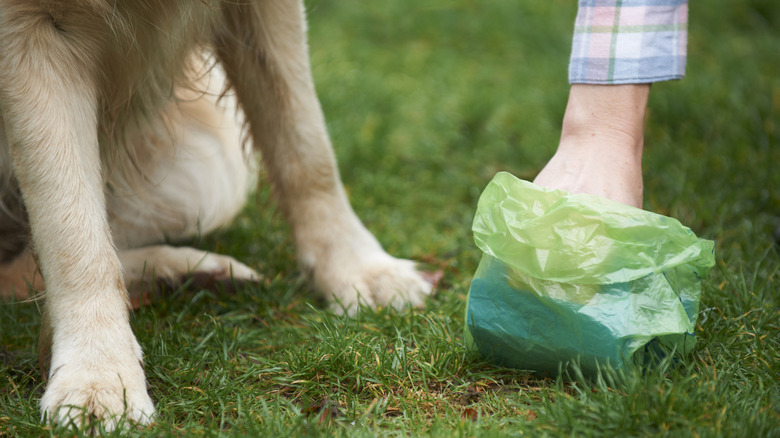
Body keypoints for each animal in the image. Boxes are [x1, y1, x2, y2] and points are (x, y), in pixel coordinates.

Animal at [0, 0, 432, 430]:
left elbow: (306, 146)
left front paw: (359, 269)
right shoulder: (26, 34)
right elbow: (73, 233)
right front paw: (98, 376)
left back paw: (193, 273)